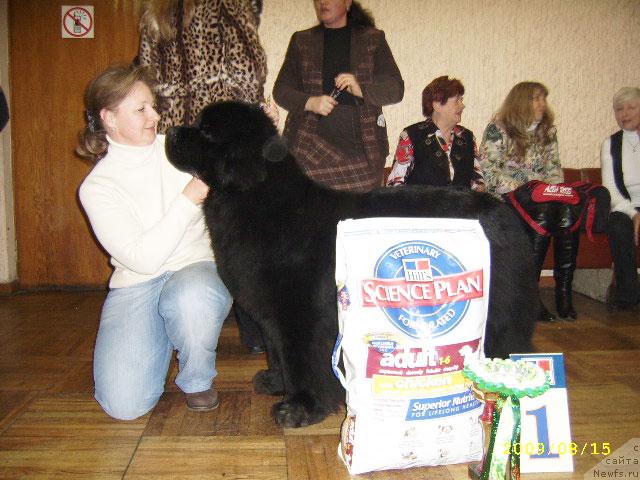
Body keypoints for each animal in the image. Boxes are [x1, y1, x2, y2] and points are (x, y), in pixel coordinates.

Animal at [166, 100, 540, 428]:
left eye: (207, 131)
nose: (169, 130)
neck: (258, 200)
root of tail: (504, 213)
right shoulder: (271, 313)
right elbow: (277, 352)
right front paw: (274, 382)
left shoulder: (301, 315)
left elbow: (300, 360)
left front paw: (299, 408)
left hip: (497, 311)